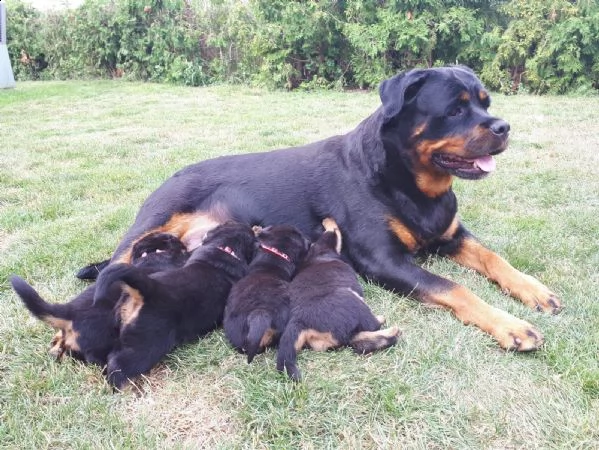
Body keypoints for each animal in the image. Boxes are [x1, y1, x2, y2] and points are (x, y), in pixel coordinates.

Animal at [278, 220, 400, 382]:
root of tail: (298, 321)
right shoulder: (328, 241)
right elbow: (333, 230)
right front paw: (328, 220)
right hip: (351, 300)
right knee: (371, 326)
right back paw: (386, 324)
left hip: (331, 338)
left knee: (357, 341)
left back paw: (390, 334)